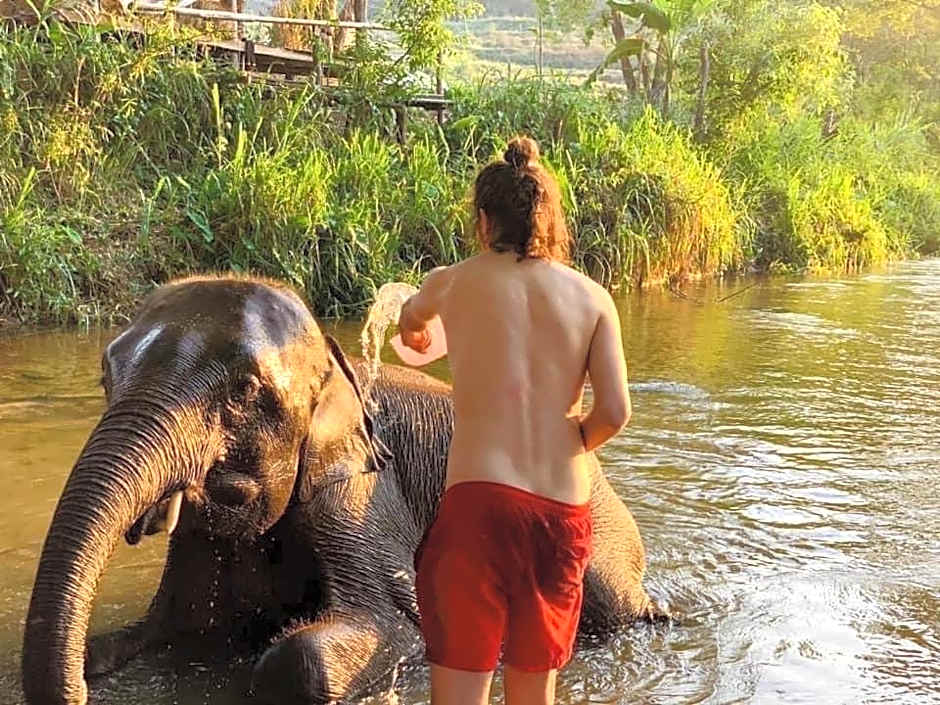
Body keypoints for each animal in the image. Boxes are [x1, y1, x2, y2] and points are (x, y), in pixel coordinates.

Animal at [21, 274, 661, 705]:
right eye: (106, 375)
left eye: (245, 392)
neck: (333, 359)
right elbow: (179, 628)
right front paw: (100, 657)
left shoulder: (362, 495)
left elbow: (379, 631)